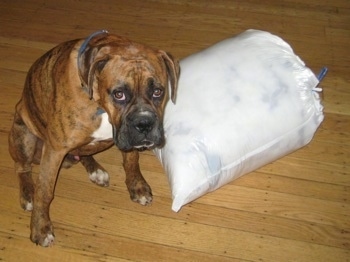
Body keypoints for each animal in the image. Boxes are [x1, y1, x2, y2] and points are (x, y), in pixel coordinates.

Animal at [8, 29, 180, 247]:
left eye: (158, 91)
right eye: (119, 94)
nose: (144, 123)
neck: (99, 103)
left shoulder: (128, 139)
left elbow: (132, 161)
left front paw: (137, 187)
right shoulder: (55, 150)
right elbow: (45, 191)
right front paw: (40, 228)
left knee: (83, 154)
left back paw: (96, 171)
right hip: (24, 136)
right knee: (22, 168)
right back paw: (28, 194)